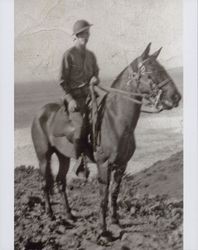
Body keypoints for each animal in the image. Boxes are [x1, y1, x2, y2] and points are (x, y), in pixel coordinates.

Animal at [31, 43, 181, 238]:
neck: (115, 120)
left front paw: (115, 221)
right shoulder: (104, 164)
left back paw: (69, 215)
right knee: (45, 184)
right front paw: (103, 230)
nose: (176, 97)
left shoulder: (122, 165)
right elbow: (103, 197)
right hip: (43, 157)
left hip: (63, 156)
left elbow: (114, 194)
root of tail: (40, 112)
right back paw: (50, 215)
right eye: (151, 72)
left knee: (61, 183)